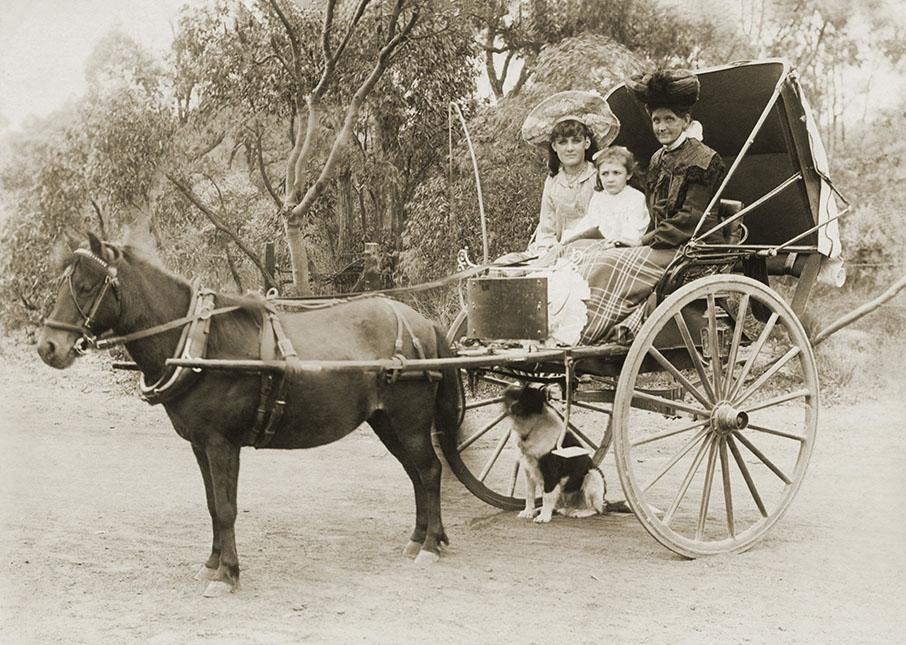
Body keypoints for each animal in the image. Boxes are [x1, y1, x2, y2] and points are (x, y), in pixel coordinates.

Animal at [36, 234, 462, 596]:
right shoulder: (200, 445)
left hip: (408, 422)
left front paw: (227, 574)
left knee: (429, 471)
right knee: (415, 474)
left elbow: (226, 508)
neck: (202, 341)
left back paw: (431, 544)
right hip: (386, 422)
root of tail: (423, 323)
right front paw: (212, 564)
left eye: (86, 287)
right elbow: (212, 505)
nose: (47, 347)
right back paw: (418, 538)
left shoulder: (222, 443)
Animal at [502, 384, 608, 520]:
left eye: (526, 398)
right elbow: (529, 494)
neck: (531, 429)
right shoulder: (528, 470)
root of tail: (568, 507)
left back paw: (579, 512)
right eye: (513, 396)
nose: (511, 407)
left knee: (597, 509)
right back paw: (541, 510)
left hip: (593, 475)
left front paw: (544, 517)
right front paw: (528, 511)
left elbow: (547, 496)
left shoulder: (551, 472)